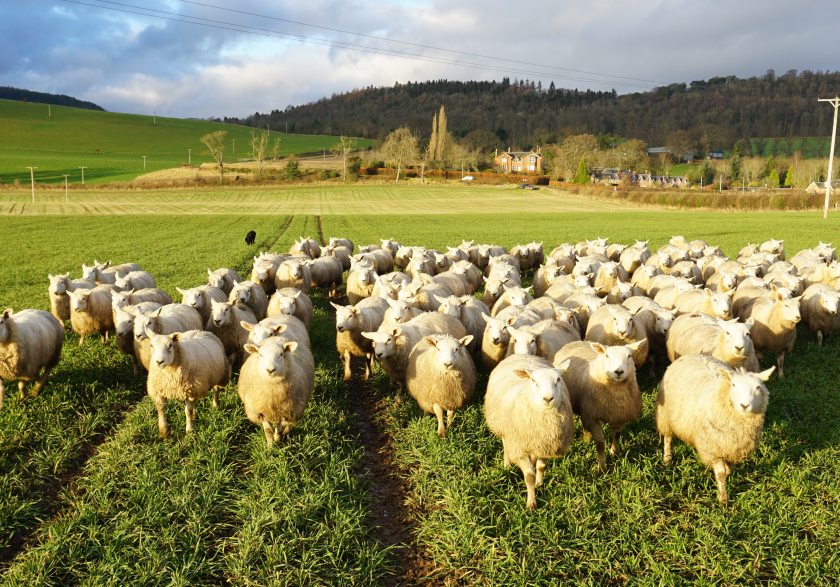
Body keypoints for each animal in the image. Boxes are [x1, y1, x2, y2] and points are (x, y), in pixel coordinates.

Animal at [482, 354, 576, 510]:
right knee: (505, 444)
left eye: (558, 379)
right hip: (504, 428)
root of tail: (522, 355)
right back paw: (507, 464)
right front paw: (531, 503)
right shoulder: (519, 448)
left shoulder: (545, 444)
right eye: (534, 381)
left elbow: (542, 467)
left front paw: (540, 485)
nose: (548, 398)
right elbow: (529, 476)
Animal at [556, 340, 648, 474]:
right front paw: (602, 467)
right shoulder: (593, 416)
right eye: (607, 356)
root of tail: (577, 341)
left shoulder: (620, 415)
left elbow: (617, 435)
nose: (618, 371)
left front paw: (614, 452)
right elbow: (600, 443)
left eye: (629, 356)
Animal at [656, 354, 776, 506]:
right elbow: (721, 473)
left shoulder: (734, 447)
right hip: (665, 416)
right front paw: (723, 499)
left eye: (758, 387)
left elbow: (729, 470)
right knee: (667, 438)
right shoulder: (713, 448)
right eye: (733, 385)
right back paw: (667, 459)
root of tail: (693, 355)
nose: (744, 405)